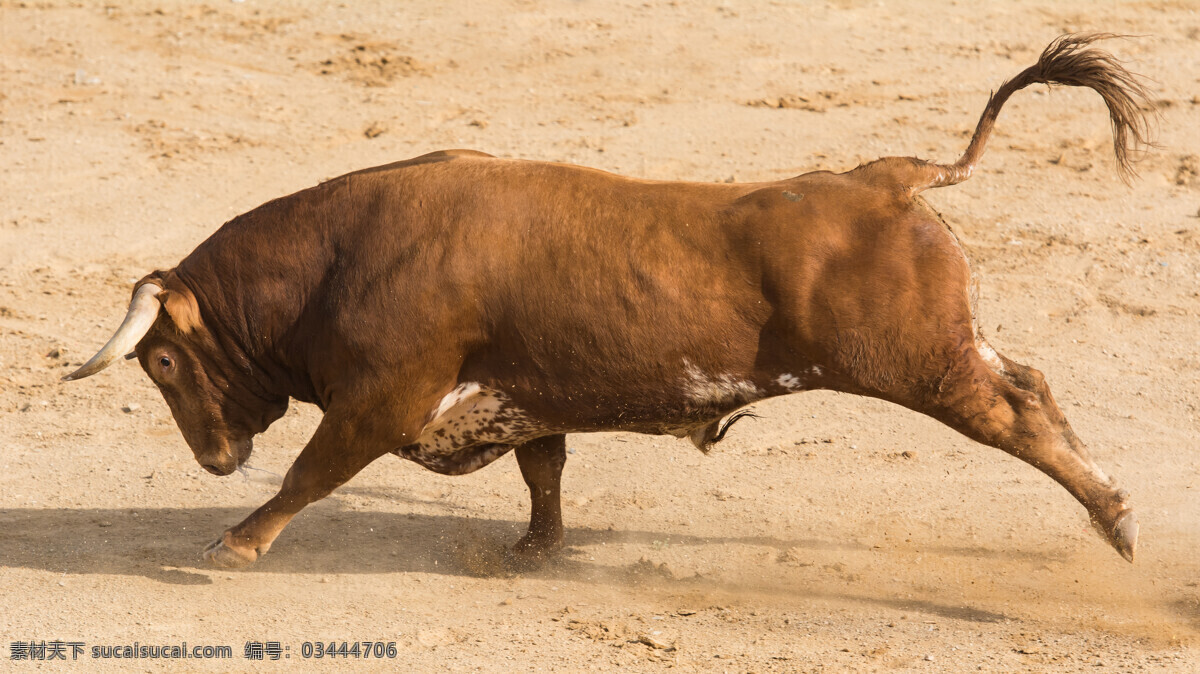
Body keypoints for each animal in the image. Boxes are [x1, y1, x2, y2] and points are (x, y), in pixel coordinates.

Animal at [65, 34, 1152, 563]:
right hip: (947, 347)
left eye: (163, 359)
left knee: (1015, 412)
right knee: (1032, 384)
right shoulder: (524, 390)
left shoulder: (384, 395)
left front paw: (237, 539)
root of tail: (886, 177)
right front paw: (536, 550)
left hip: (921, 363)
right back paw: (1116, 516)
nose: (214, 460)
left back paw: (1118, 521)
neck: (338, 256)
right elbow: (543, 469)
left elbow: (313, 469)